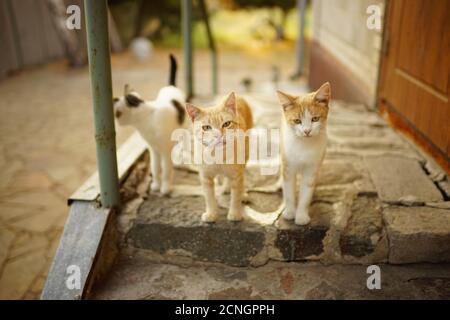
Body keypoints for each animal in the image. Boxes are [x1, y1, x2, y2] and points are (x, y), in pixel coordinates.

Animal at [116, 54, 188, 195]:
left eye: (117, 113)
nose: (117, 122)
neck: (146, 119)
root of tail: (170, 86)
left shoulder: (164, 150)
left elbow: (165, 170)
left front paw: (165, 188)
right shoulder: (153, 149)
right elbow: (155, 168)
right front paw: (156, 185)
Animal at [184, 92, 253, 222]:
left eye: (226, 124)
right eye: (206, 128)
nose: (218, 135)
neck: (218, 155)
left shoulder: (237, 175)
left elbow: (235, 196)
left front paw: (235, 213)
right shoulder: (205, 177)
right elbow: (209, 197)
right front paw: (212, 213)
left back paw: (242, 193)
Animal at [276, 82, 328, 225]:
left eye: (315, 119)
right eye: (297, 121)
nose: (307, 131)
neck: (303, 145)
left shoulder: (311, 170)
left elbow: (305, 194)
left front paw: (301, 216)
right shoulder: (288, 167)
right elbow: (289, 192)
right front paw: (289, 212)